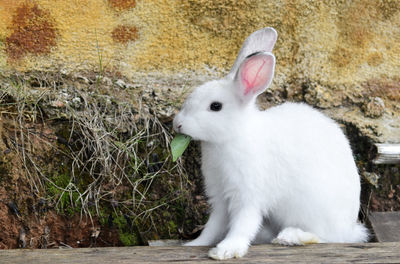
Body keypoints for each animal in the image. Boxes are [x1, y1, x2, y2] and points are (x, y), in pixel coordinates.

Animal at [173, 27, 368, 260]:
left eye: (216, 106)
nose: (177, 124)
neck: (233, 136)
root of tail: (350, 228)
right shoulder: (219, 197)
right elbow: (213, 226)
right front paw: (194, 244)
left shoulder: (248, 196)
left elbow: (243, 224)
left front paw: (226, 250)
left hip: (312, 210)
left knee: (325, 237)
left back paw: (290, 237)